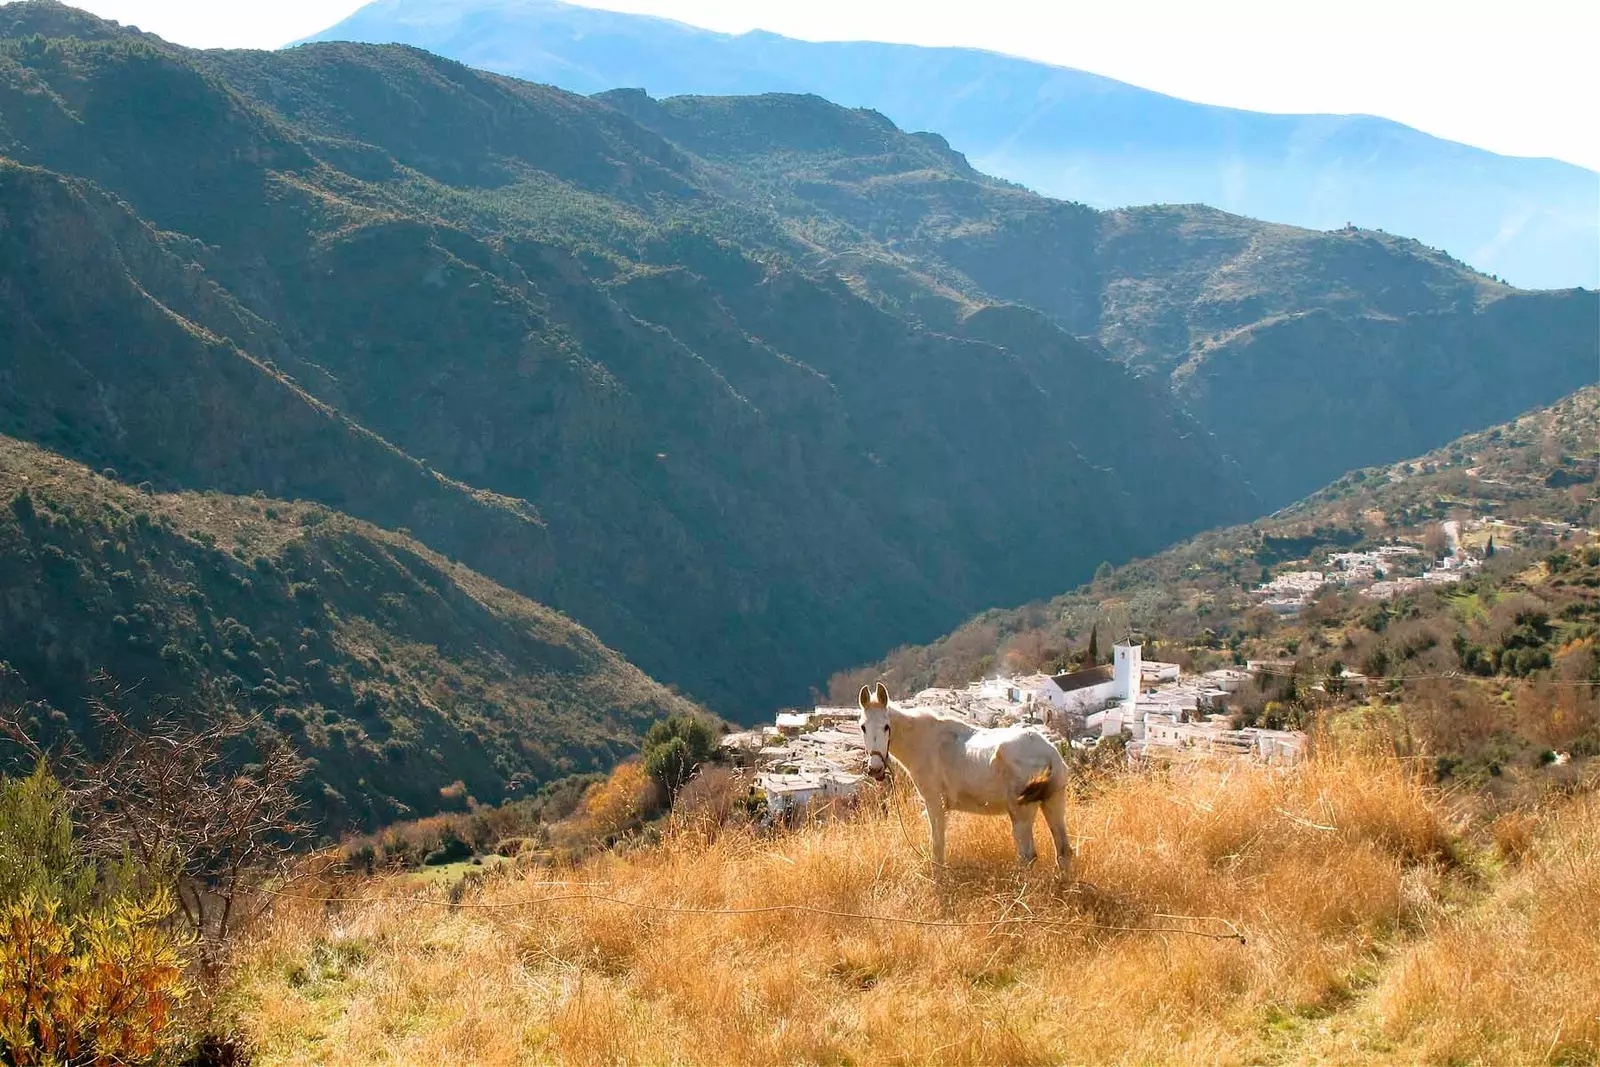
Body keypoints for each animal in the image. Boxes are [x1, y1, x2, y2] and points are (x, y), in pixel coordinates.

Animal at [857, 684, 1068, 876]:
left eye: (886, 727)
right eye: (863, 727)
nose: (875, 769)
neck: (924, 742)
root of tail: (1050, 755)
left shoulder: (935, 803)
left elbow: (937, 847)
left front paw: (938, 879)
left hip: (1021, 812)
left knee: (1028, 856)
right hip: (1053, 802)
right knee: (1063, 851)